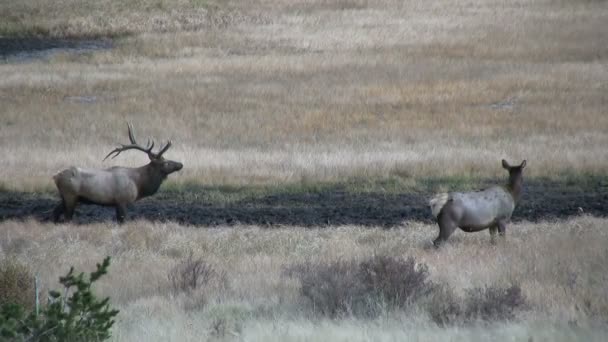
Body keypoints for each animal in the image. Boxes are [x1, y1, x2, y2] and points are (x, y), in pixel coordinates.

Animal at [52, 124, 183, 223]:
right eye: (166, 163)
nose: (181, 164)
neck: (139, 184)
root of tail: (55, 176)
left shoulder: (117, 203)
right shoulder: (122, 200)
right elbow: (123, 221)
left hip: (65, 197)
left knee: (55, 212)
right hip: (70, 195)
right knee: (67, 217)